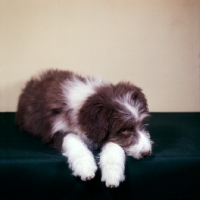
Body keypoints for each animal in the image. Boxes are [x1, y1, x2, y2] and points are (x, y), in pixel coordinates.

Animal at [16, 69, 153, 188]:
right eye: (125, 130)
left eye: (142, 124)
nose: (147, 153)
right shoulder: (54, 129)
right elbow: (71, 138)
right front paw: (85, 166)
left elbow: (114, 144)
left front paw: (112, 173)